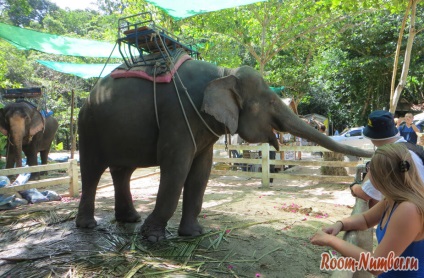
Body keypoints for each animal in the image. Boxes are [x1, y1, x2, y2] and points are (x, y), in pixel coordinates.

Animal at [75, 60, 372, 241]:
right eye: (271, 102)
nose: (366, 166)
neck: (223, 73)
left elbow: (201, 171)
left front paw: (193, 234)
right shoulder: (178, 116)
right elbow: (176, 168)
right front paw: (153, 238)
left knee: (122, 171)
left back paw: (130, 218)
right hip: (88, 128)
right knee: (92, 171)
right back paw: (88, 225)